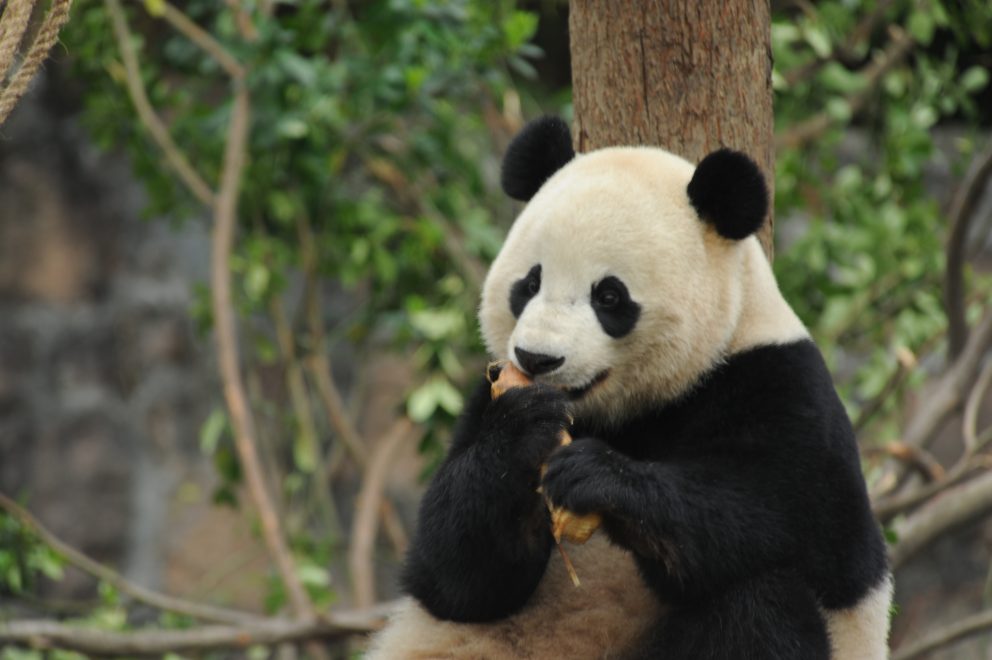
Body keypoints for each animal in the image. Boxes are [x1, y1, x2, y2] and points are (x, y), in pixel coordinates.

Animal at [368, 117, 893, 659]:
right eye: (529, 284)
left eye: (609, 296)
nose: (537, 359)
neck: (628, 413)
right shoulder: (484, 396)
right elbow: (455, 576)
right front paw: (523, 426)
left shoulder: (782, 384)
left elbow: (777, 519)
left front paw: (599, 476)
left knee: (762, 600)